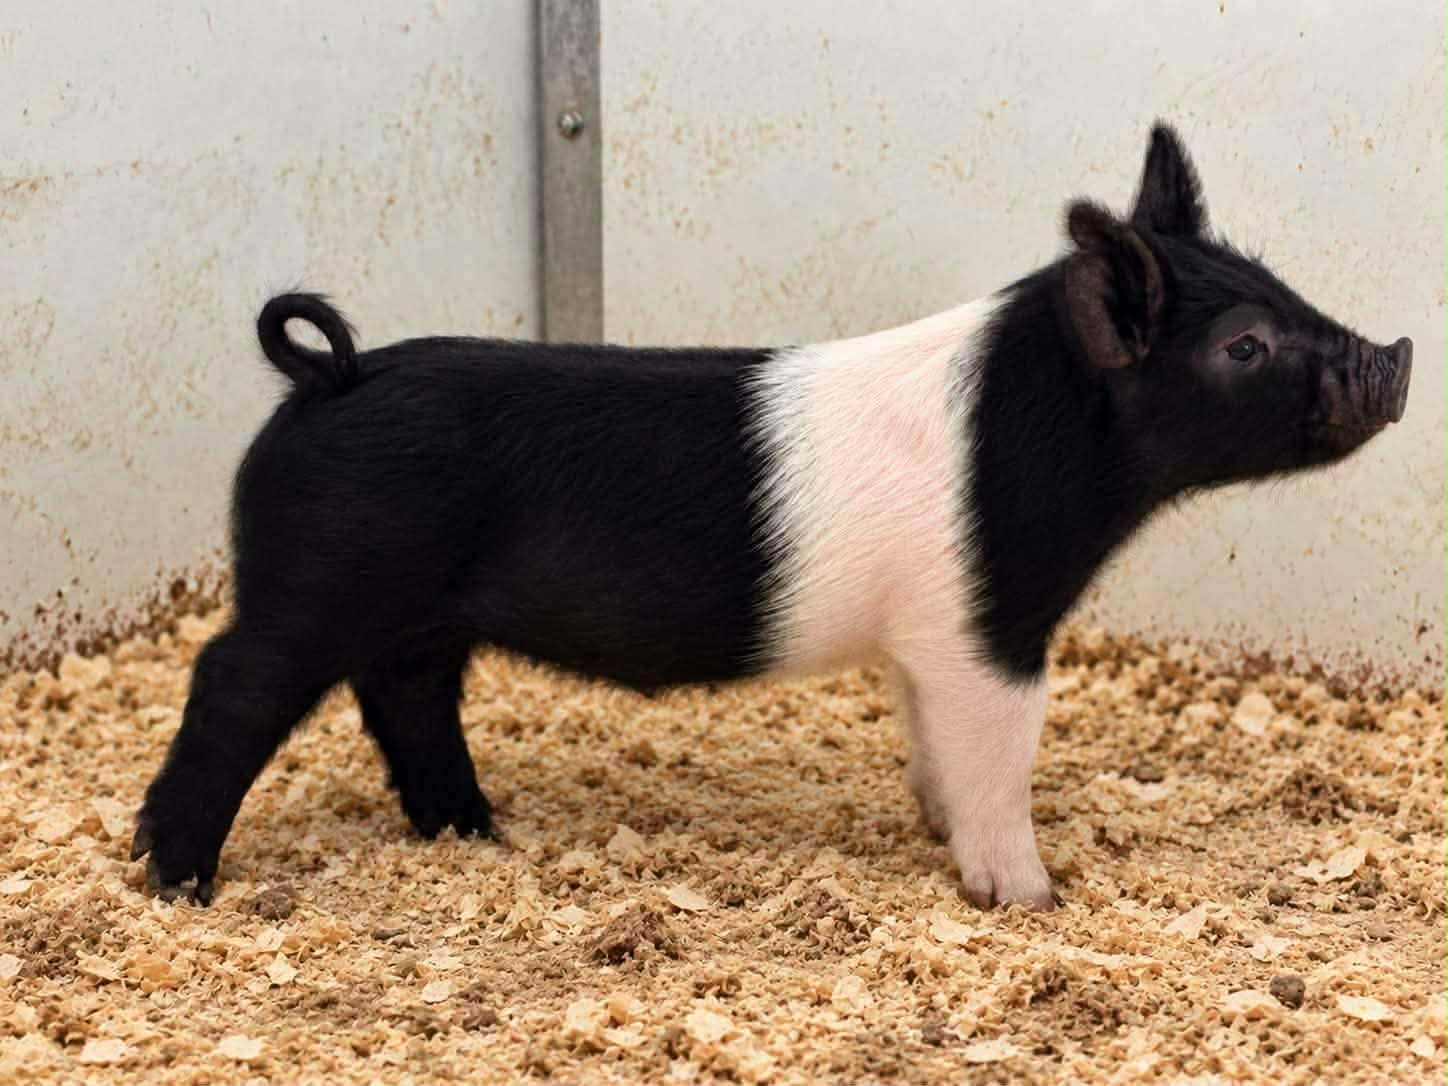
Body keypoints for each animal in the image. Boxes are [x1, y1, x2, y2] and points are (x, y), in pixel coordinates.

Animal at [132, 123, 1412, 908]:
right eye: (1241, 346)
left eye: (1277, 282)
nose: (1397, 357)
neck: (1049, 441)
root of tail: (327, 377)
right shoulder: (988, 627)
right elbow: (996, 760)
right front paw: (1028, 898)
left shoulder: (925, 643)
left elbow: (930, 742)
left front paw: (934, 828)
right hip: (314, 586)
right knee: (231, 682)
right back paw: (174, 879)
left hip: (416, 619)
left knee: (405, 700)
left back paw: (476, 836)